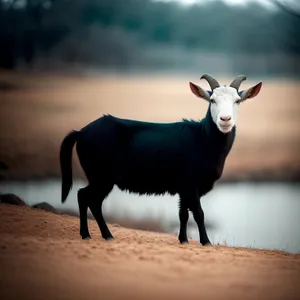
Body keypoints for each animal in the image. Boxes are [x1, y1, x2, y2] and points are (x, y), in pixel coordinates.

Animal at [59, 74, 262, 246]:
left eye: (238, 100)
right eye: (212, 100)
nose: (225, 119)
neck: (202, 138)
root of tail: (81, 132)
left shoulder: (183, 188)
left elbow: (182, 213)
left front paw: (183, 240)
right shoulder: (190, 184)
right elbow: (198, 213)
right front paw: (206, 242)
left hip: (100, 179)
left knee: (89, 199)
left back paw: (98, 235)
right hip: (101, 178)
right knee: (86, 197)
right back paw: (95, 235)